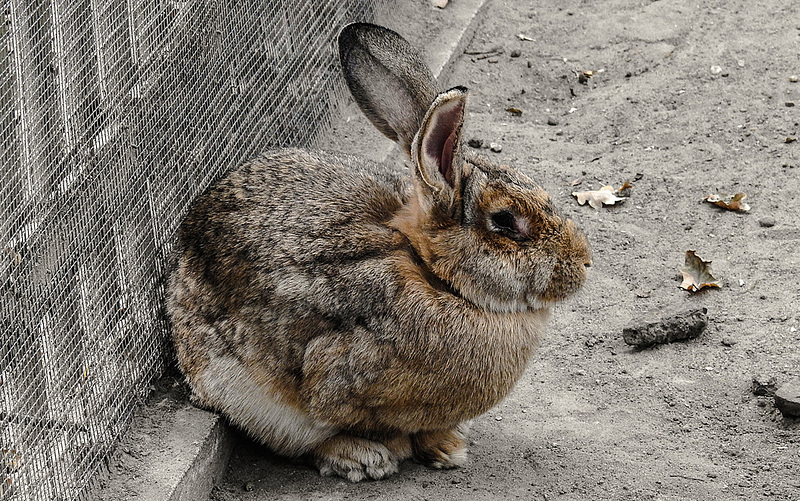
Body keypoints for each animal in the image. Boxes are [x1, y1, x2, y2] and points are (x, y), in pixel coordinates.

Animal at [166, 22, 592, 480]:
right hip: (241, 391)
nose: (585, 263)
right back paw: (360, 457)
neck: (431, 274)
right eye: (506, 222)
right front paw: (390, 451)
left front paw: (447, 448)